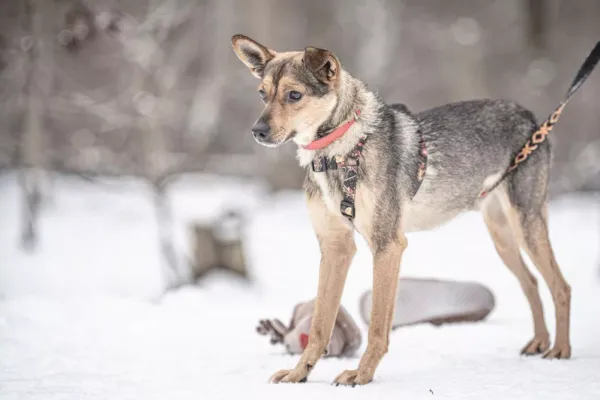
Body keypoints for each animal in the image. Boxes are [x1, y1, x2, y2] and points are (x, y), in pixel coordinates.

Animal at [231, 36, 600, 386]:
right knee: (532, 284)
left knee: (560, 287)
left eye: (294, 95)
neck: (338, 151)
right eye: (262, 94)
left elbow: (378, 326)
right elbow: (321, 323)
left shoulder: (387, 246)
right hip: (503, 239)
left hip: (526, 226)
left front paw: (361, 376)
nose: (257, 131)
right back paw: (539, 342)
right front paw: (299, 374)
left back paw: (560, 349)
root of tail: (530, 117)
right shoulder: (336, 248)